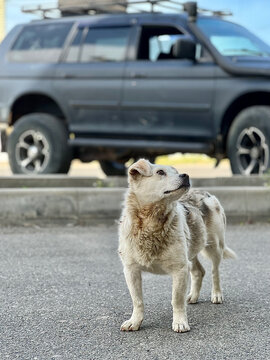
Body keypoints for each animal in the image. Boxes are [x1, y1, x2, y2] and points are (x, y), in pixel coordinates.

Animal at [118, 159, 236, 334]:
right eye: (160, 172)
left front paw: (180, 322)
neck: (152, 223)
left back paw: (216, 295)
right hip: (191, 251)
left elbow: (177, 299)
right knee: (199, 271)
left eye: (176, 171)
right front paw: (135, 321)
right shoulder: (131, 270)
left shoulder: (179, 269)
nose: (185, 175)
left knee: (215, 272)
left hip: (214, 247)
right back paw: (193, 296)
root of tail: (205, 193)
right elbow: (137, 300)